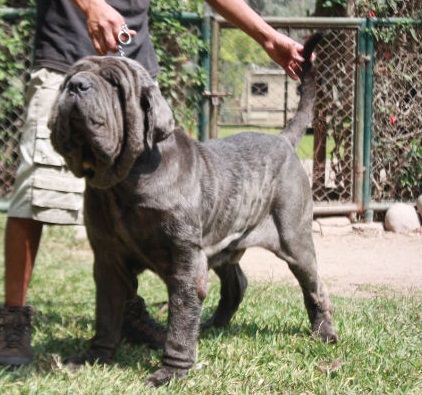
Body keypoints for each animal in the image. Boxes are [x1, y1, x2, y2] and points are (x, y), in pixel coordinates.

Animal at [49, 33, 338, 386]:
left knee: (315, 287)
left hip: (294, 240)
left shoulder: (186, 260)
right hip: (225, 243)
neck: (124, 181)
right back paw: (214, 325)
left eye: (114, 83)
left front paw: (171, 372)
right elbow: (106, 313)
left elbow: (180, 320)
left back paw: (324, 333)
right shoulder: (108, 261)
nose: (76, 85)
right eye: (69, 77)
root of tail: (283, 139)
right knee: (236, 283)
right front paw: (94, 357)